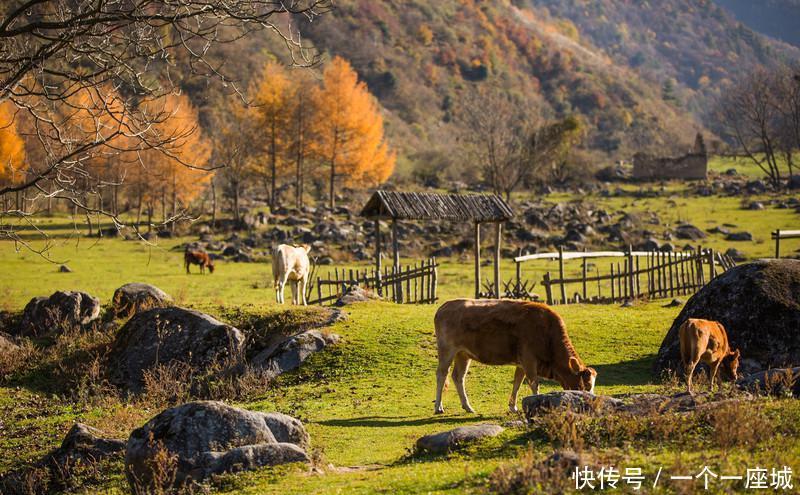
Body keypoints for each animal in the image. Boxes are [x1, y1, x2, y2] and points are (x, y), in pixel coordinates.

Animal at [434, 298, 596, 414]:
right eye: (585, 385)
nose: (592, 404)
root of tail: (444, 306)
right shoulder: (529, 360)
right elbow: (534, 383)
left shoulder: (522, 363)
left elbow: (517, 383)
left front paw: (513, 407)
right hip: (447, 350)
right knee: (442, 374)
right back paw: (438, 407)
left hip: (463, 354)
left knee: (458, 376)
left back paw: (468, 407)